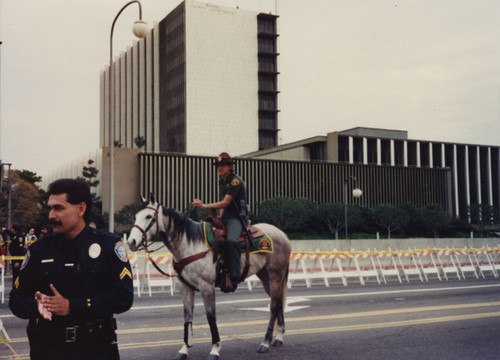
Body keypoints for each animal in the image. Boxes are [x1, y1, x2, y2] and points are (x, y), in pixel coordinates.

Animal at [128, 195, 292, 358]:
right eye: (136, 216)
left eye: (149, 216)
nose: (131, 242)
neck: (190, 245)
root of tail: (282, 234)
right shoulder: (185, 286)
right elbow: (187, 316)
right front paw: (184, 349)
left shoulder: (207, 286)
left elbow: (211, 317)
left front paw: (215, 349)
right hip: (265, 277)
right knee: (278, 302)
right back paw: (278, 337)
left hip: (275, 275)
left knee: (273, 306)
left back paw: (265, 342)